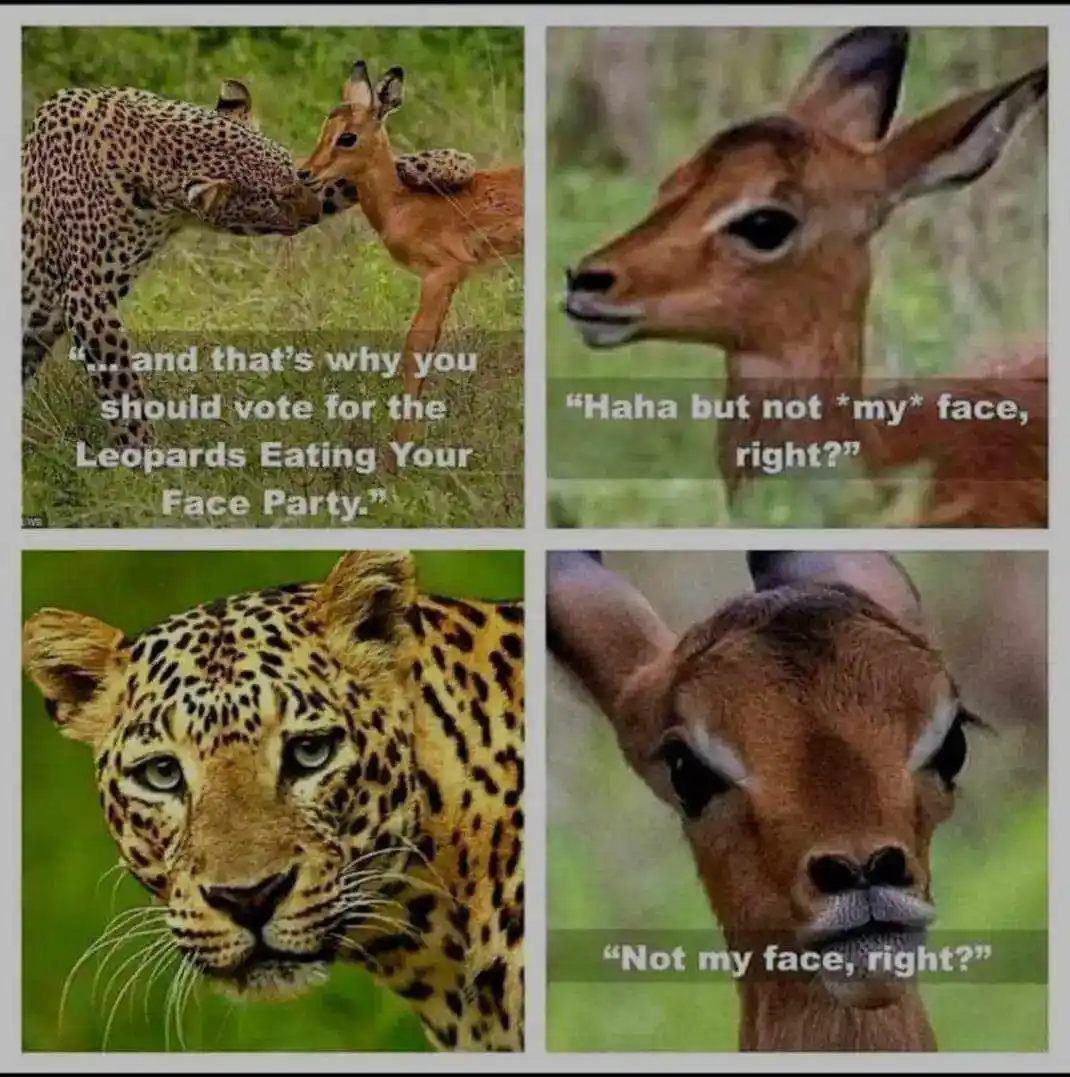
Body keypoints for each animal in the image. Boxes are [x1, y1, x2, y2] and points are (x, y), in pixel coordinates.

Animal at [21, 78, 477, 447]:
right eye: (273, 199)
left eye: (293, 174)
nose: (313, 210)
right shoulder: (88, 299)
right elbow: (123, 391)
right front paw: (148, 461)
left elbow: (349, 174)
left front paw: (447, 163)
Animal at [300, 61, 524, 450]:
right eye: (325, 128)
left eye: (347, 137)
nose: (305, 173)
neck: (402, 204)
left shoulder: (441, 274)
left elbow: (415, 350)